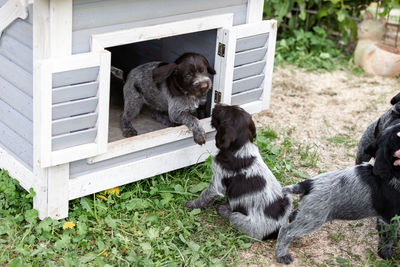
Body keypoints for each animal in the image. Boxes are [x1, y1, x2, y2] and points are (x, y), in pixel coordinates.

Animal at [184, 104, 290, 241]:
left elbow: (205, 195)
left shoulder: (217, 181)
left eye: (222, 112)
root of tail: (278, 229)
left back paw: (225, 210)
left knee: (233, 216)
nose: (216, 105)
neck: (241, 148)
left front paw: (192, 204)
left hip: (242, 221)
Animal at [276, 122, 400, 264]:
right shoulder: (390, 218)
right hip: (313, 219)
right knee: (286, 231)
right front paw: (388, 255)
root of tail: (308, 183)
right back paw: (281, 255)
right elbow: (390, 237)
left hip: (307, 213)